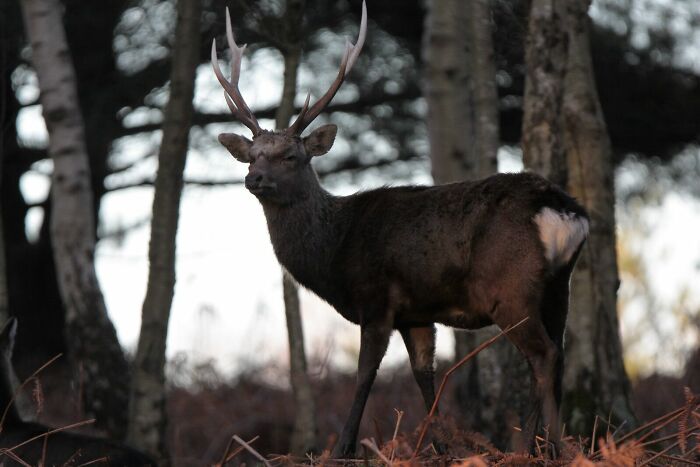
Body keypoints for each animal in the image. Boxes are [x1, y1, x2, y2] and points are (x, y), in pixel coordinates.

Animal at [211, 2, 589, 457]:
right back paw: (537, 444)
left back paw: (542, 446)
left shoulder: (376, 300)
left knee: (544, 355)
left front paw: (344, 449)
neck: (334, 251)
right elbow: (423, 375)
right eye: (252, 156)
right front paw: (442, 446)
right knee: (559, 354)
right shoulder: (417, 312)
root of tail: (562, 208)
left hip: (510, 287)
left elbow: (364, 375)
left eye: (291, 156)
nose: (254, 179)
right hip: (559, 286)